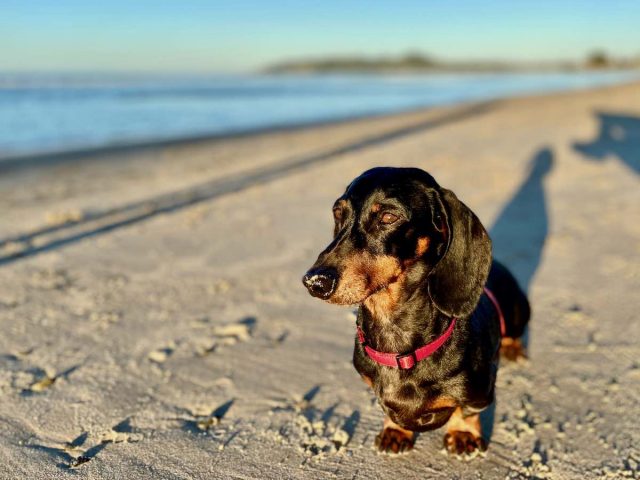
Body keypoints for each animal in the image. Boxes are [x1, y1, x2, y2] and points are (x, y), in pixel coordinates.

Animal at [302, 167, 528, 456]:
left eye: (388, 217)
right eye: (338, 213)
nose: (315, 282)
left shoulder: (480, 390)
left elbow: (466, 411)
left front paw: (463, 433)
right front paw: (395, 430)